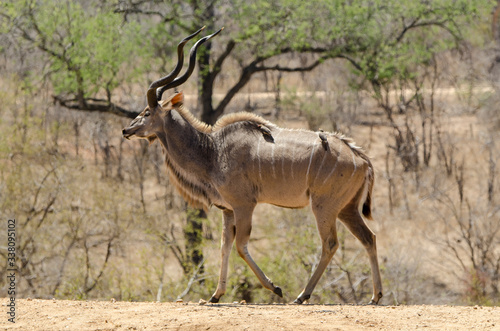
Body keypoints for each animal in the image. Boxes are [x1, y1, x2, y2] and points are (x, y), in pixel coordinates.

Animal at [122, 28, 382, 306]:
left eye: (147, 112)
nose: (126, 130)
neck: (212, 150)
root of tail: (361, 158)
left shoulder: (244, 204)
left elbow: (240, 245)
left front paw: (275, 287)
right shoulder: (227, 210)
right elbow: (224, 246)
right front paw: (215, 295)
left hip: (324, 206)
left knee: (330, 243)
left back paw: (302, 295)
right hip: (346, 209)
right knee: (369, 238)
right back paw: (375, 296)